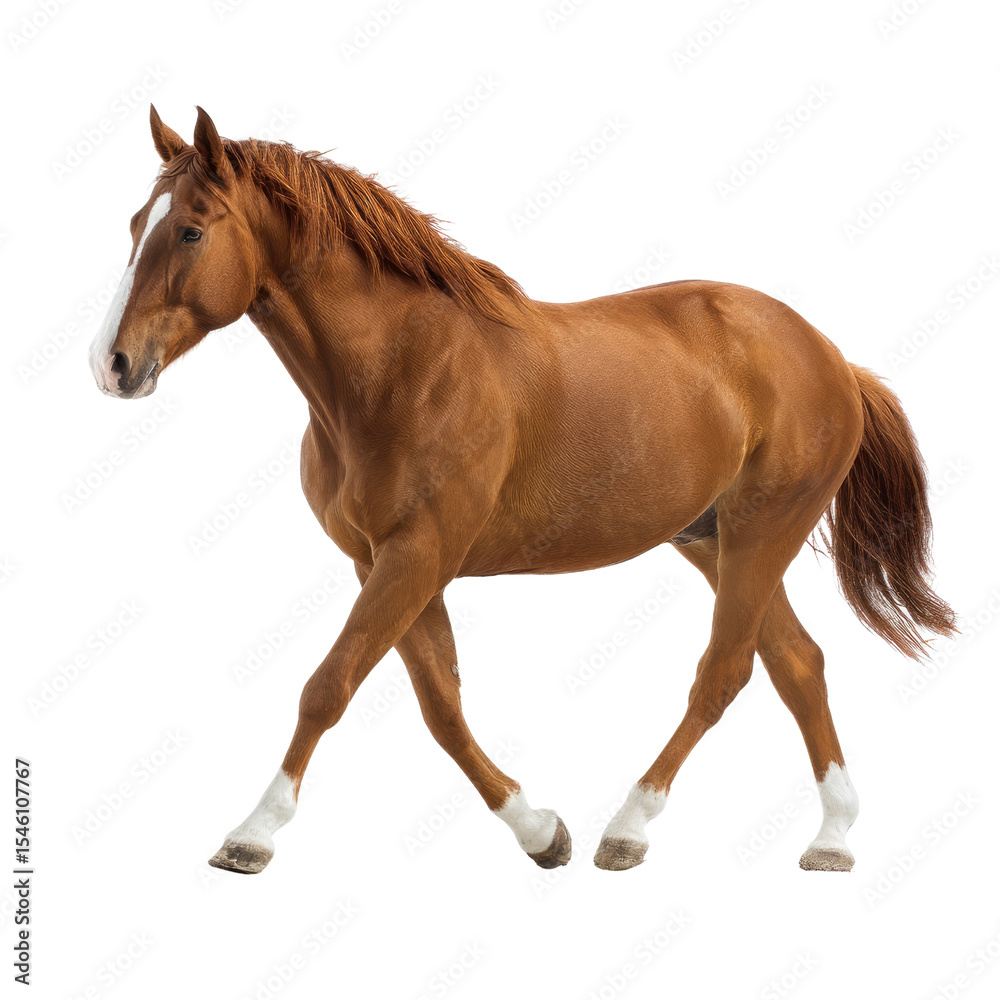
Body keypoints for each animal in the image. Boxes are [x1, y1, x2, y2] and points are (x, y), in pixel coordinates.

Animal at [88, 106, 956, 876]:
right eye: (135, 223)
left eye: (191, 229)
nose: (112, 365)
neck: (401, 369)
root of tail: (831, 356)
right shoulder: (383, 563)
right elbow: (440, 706)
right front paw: (539, 832)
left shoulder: (417, 554)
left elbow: (328, 687)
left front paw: (252, 834)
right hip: (714, 542)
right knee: (797, 663)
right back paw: (832, 837)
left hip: (760, 534)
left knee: (726, 672)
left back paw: (630, 827)